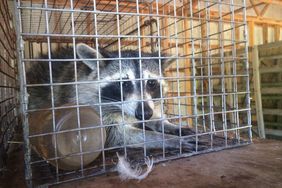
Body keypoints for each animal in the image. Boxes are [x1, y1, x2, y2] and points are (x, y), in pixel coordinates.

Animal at [27, 43, 196, 151]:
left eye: (151, 83)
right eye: (124, 83)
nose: (144, 113)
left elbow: (154, 116)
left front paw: (169, 125)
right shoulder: (90, 105)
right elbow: (119, 135)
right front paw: (167, 139)